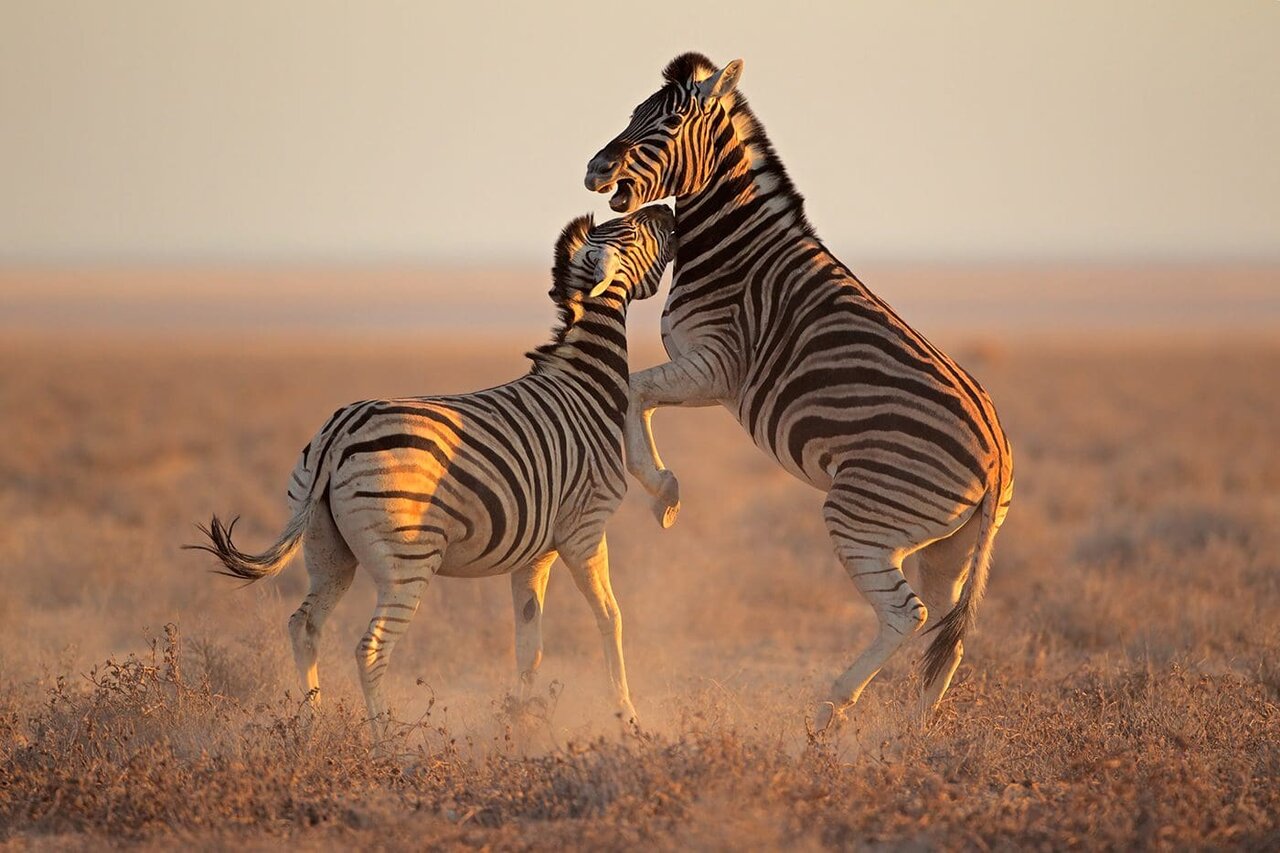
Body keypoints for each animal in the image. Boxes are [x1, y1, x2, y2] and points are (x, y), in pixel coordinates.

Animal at [187, 204, 676, 735]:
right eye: (632, 232)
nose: (667, 212)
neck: (585, 384)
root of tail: (337, 436)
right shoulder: (584, 530)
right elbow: (610, 617)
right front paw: (627, 717)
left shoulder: (536, 552)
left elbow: (529, 645)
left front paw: (520, 724)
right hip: (408, 560)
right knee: (370, 649)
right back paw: (386, 741)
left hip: (326, 550)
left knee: (304, 626)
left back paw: (312, 724)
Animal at [584, 53, 1014, 729]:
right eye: (634, 113)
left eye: (669, 121)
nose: (595, 169)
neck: (735, 248)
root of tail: (996, 453)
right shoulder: (706, 371)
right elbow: (638, 393)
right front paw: (663, 491)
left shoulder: (717, 366)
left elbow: (633, 390)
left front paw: (663, 492)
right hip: (951, 544)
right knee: (945, 633)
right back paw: (912, 736)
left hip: (862, 514)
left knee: (906, 616)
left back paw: (831, 710)